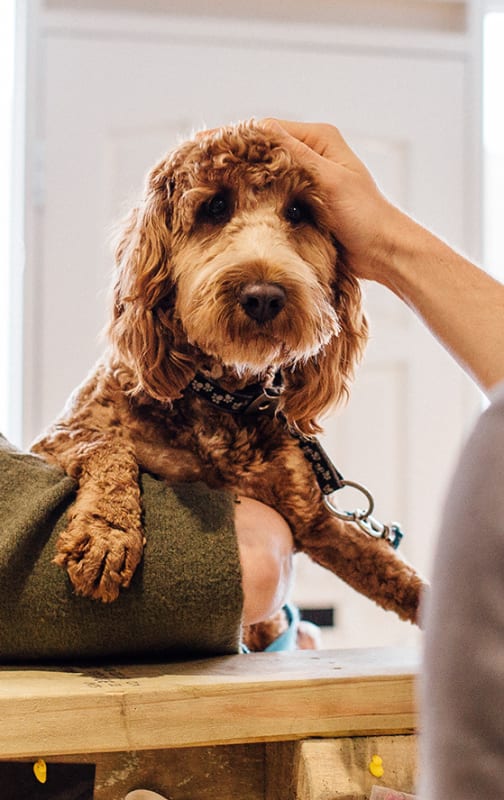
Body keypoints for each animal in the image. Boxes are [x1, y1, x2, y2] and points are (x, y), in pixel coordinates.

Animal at [31, 120, 426, 632]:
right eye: (215, 207)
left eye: (299, 211)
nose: (264, 296)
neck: (225, 396)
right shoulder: (58, 438)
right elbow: (108, 446)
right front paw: (108, 533)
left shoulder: (315, 521)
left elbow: (397, 575)